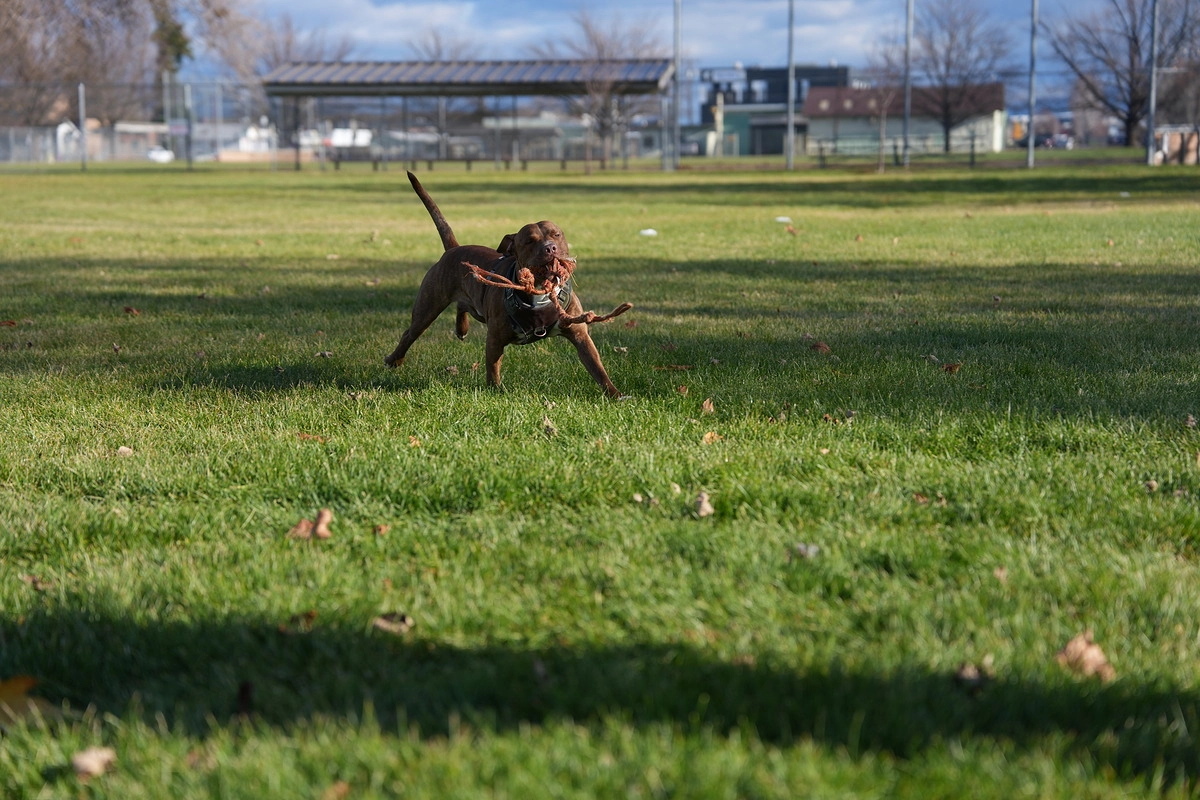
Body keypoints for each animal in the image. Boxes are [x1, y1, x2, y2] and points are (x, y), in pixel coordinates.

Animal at [385, 172, 627, 398]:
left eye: (556, 235)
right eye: (529, 241)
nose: (550, 248)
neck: (540, 294)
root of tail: (453, 249)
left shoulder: (580, 335)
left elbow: (597, 368)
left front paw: (615, 394)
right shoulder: (495, 338)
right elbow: (493, 368)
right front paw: (495, 391)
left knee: (462, 306)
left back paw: (461, 329)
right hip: (428, 306)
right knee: (410, 333)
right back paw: (394, 359)